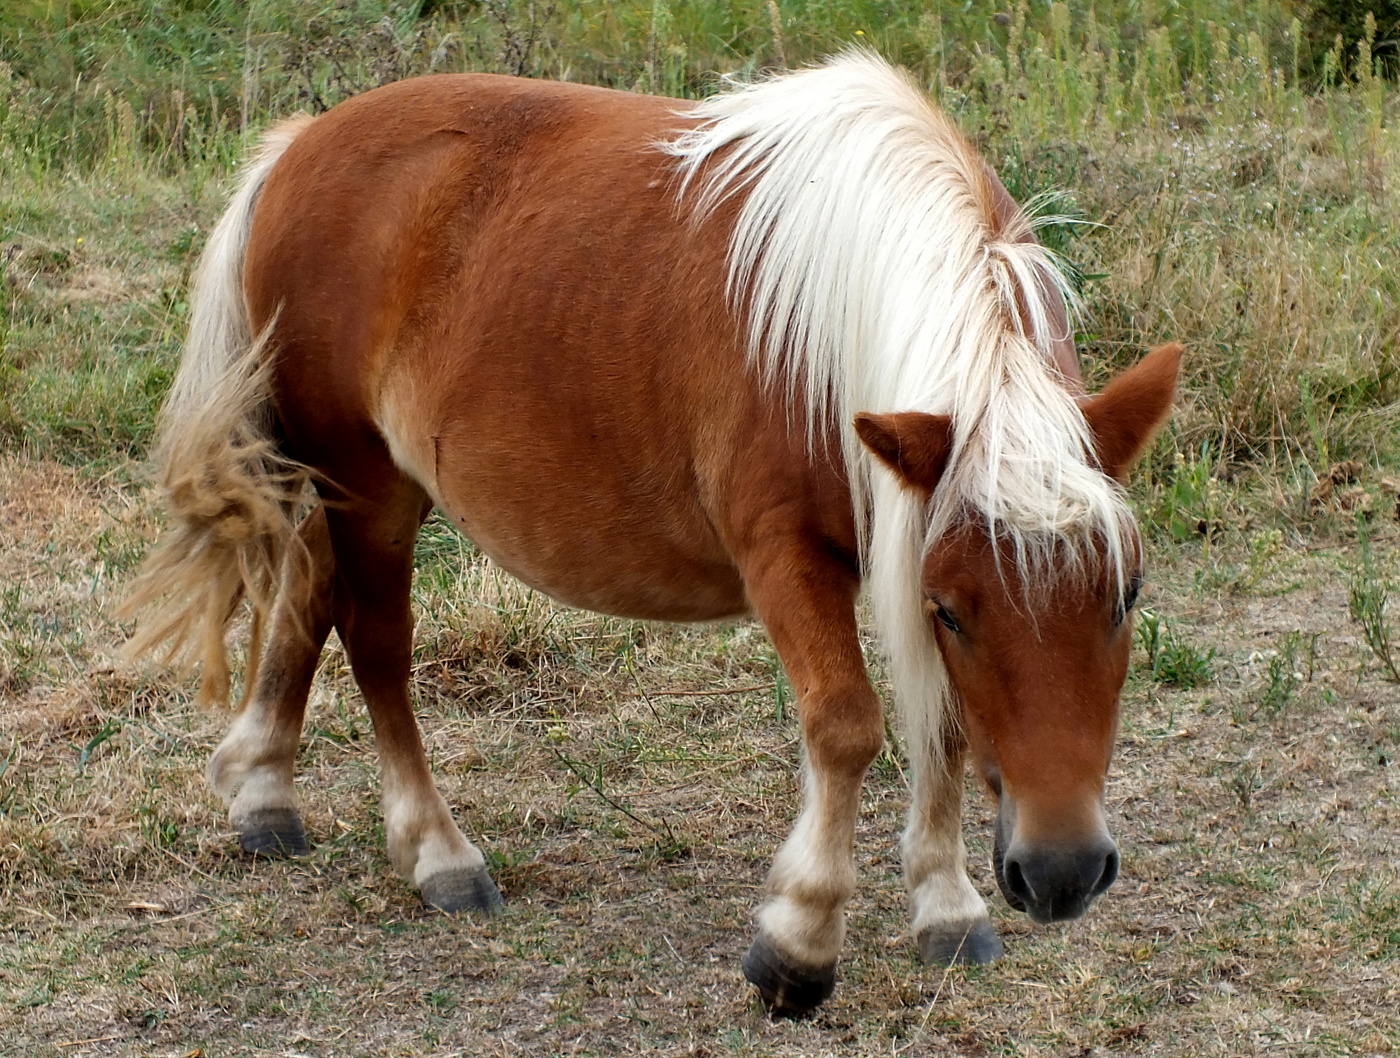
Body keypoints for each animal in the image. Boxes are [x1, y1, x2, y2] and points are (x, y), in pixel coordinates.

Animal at [126, 51, 1181, 1018]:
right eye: (954, 611)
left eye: (1124, 596)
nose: (1062, 871)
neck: (842, 308)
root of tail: (300, 145)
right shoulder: (788, 556)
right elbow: (846, 727)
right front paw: (799, 943)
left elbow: (947, 724)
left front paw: (946, 907)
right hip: (370, 487)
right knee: (377, 644)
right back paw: (437, 853)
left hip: (357, 483)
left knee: (309, 591)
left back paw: (264, 791)